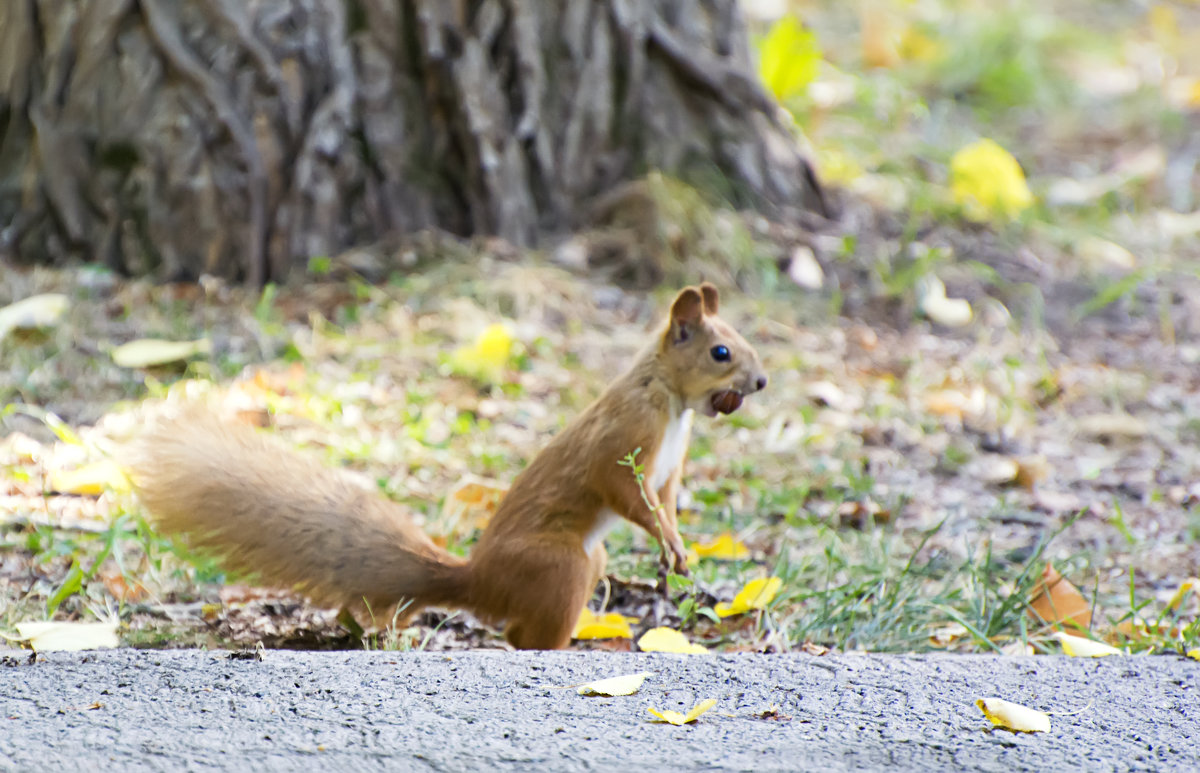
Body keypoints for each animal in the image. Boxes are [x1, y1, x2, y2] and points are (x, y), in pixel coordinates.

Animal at [129, 280, 768, 648]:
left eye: (741, 339)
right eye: (721, 352)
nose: (760, 382)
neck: (671, 400)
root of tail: (478, 580)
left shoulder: (669, 469)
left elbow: (667, 502)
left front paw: (677, 550)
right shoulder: (625, 439)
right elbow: (625, 493)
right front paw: (670, 542)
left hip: (587, 562)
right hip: (560, 565)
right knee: (526, 632)